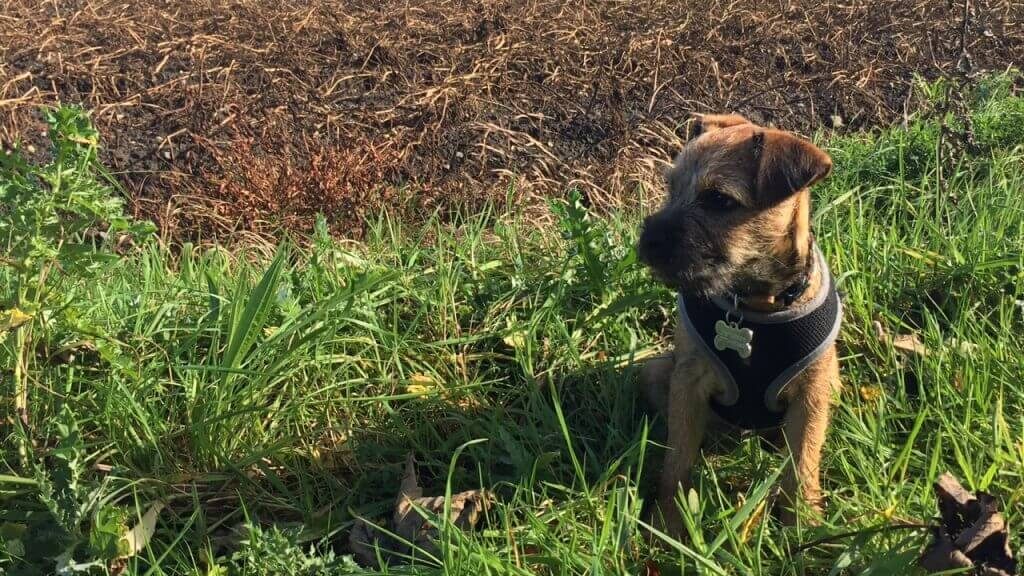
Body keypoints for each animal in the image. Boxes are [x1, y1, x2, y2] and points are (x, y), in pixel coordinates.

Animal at [634, 112, 843, 532]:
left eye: (719, 199)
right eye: (671, 187)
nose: (647, 242)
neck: (756, 304)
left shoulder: (813, 393)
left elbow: (804, 460)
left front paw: (803, 522)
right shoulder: (688, 384)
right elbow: (678, 458)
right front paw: (669, 523)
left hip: (834, 379)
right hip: (656, 371)